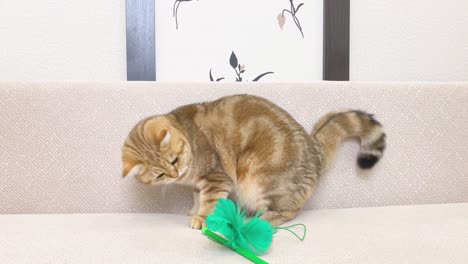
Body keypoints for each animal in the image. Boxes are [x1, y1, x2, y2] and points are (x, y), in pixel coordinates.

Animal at [120, 95, 384, 229]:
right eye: (158, 175)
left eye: (174, 160)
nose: (175, 175)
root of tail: (314, 149)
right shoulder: (197, 185)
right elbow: (197, 198)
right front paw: (193, 210)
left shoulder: (216, 179)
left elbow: (209, 202)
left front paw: (201, 219)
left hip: (256, 176)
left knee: (287, 212)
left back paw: (261, 219)